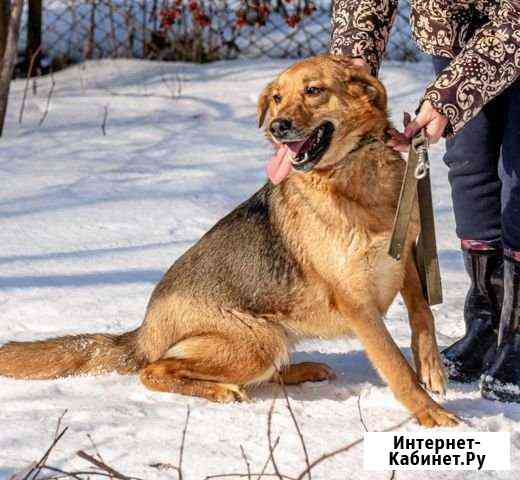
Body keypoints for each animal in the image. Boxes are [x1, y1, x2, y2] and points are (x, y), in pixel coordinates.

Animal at [0, 55, 458, 428]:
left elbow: (422, 313)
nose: (276, 127)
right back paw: (220, 390)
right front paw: (429, 413)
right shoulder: (358, 305)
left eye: (314, 91)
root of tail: (145, 329)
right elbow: (395, 366)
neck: (354, 176)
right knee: (156, 370)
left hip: (270, 337)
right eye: (277, 98)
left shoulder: (405, 256)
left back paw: (300, 370)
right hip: (256, 338)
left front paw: (431, 367)